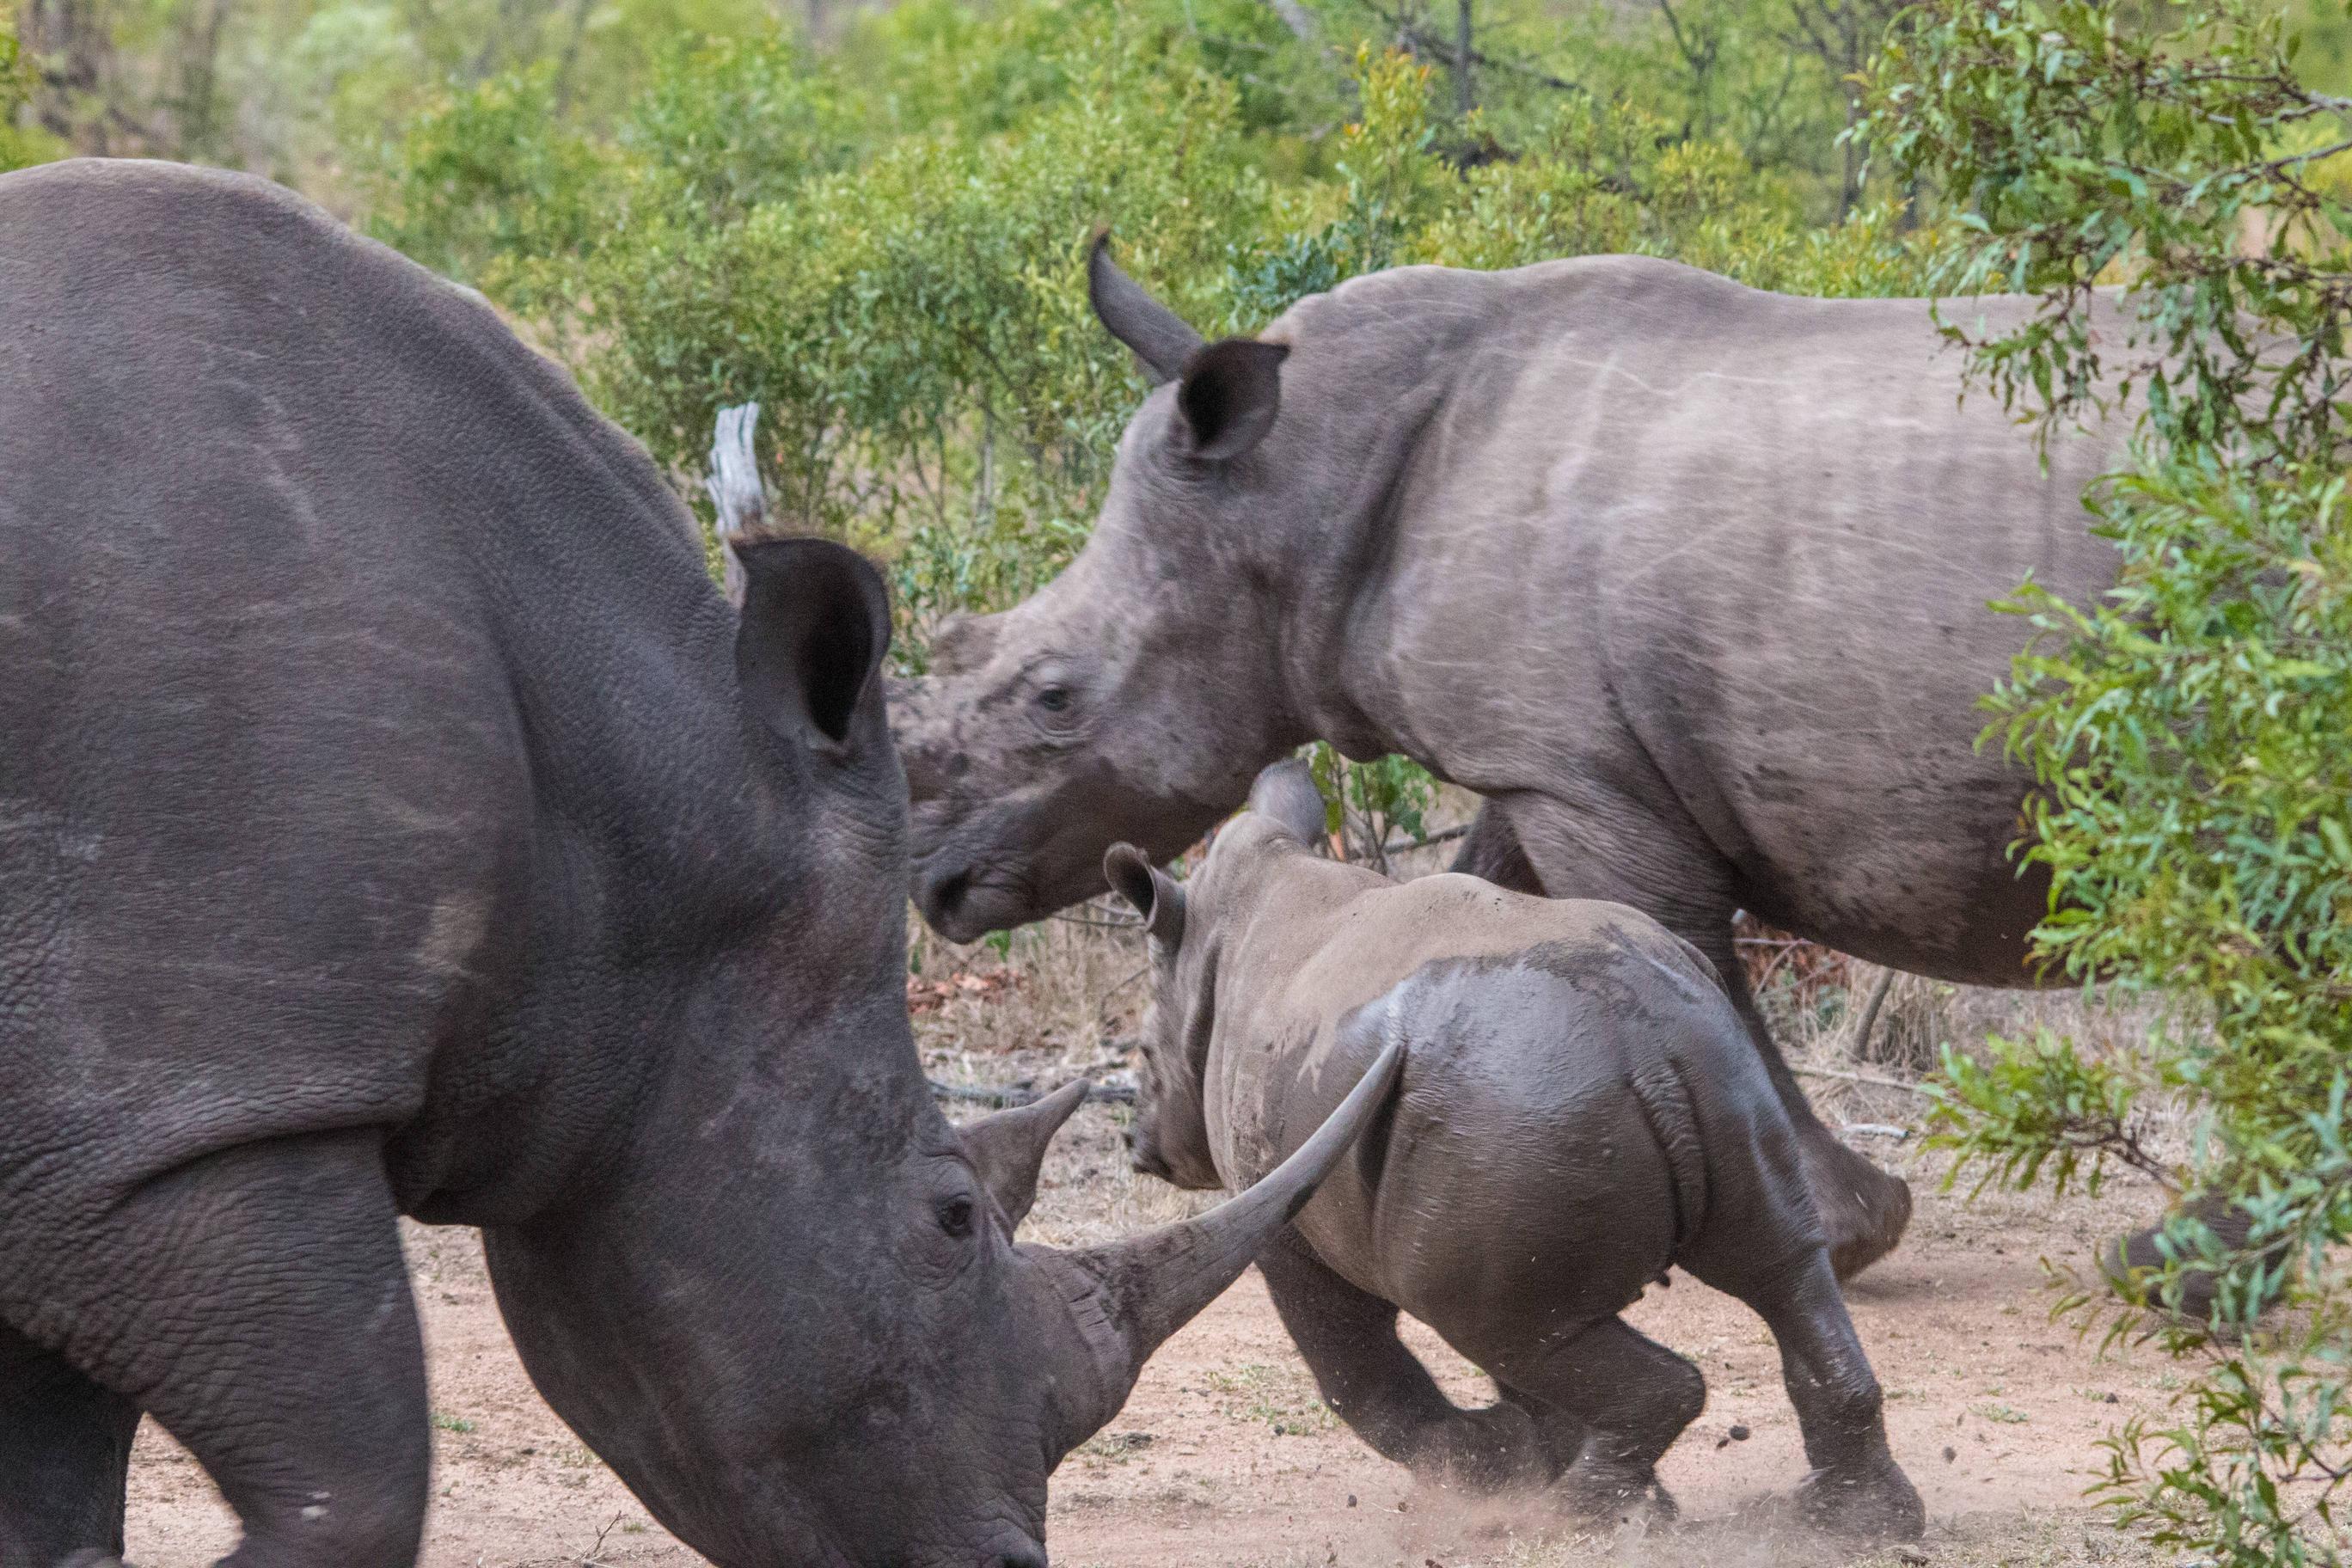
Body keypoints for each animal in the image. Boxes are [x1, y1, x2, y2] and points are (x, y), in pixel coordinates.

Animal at [0, 160, 1400, 1568]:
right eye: (949, 1217)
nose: (1011, 1563)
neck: (646, 810)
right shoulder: (193, 1113)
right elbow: (358, 1475)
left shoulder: (88, 1151)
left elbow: (58, 1507)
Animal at [893, 237, 2131, 1281]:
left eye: (1054, 697)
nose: (933, 883)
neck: (1295, 493)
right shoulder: (1540, 760)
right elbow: (1477, 899)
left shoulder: (1579, 771)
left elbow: (1681, 953)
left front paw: (1837, 1232)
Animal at [1102, 761, 1924, 1539]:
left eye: (1141, 1053)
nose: (1136, 1145)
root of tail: (1648, 1048)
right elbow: (1529, 1377)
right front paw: (1528, 1465)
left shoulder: (1288, 1209)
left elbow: (1350, 1361)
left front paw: (1483, 1468)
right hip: (1702, 1068)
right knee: (1780, 1269)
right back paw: (1845, 1523)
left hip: (1511, 1112)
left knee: (1504, 1331)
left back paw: (1578, 1521)